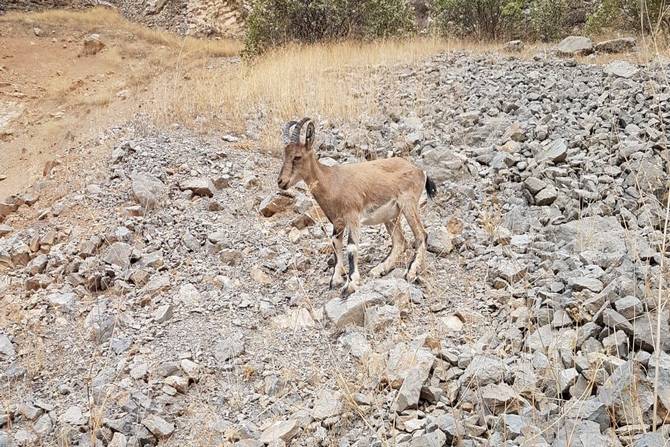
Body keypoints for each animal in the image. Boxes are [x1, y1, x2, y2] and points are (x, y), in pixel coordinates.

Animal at [276, 117, 438, 296]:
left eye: (297, 157)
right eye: (285, 155)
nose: (281, 182)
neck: (332, 181)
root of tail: (419, 171)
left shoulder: (353, 217)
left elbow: (351, 247)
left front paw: (350, 284)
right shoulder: (337, 221)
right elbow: (336, 244)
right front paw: (335, 280)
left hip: (408, 205)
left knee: (421, 235)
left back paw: (410, 272)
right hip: (391, 216)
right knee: (400, 241)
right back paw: (379, 269)